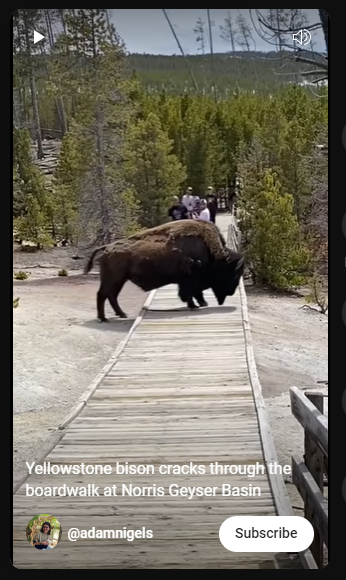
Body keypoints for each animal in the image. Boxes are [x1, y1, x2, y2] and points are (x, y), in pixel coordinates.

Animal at [83, 221, 243, 324]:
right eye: (233, 273)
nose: (231, 292)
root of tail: (107, 247)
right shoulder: (189, 279)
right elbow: (190, 293)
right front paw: (194, 306)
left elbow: (193, 292)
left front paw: (200, 303)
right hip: (113, 279)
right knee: (102, 294)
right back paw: (103, 318)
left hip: (120, 280)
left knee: (112, 295)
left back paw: (121, 314)